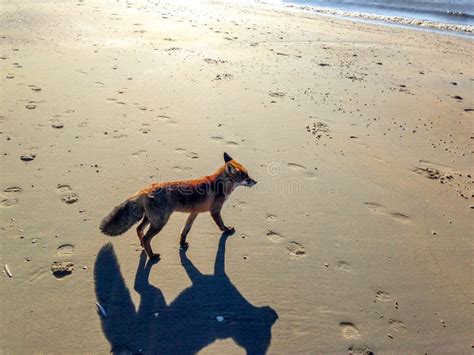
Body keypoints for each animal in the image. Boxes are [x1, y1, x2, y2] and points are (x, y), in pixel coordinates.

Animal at [98, 152, 258, 258]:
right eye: (245, 176)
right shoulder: (215, 211)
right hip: (160, 222)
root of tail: (144, 190)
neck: (219, 184)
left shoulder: (194, 213)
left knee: (138, 229)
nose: (255, 182)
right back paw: (152, 256)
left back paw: (143, 247)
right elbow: (221, 225)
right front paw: (226, 230)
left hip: (151, 219)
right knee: (146, 237)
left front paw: (182, 243)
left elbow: (185, 230)